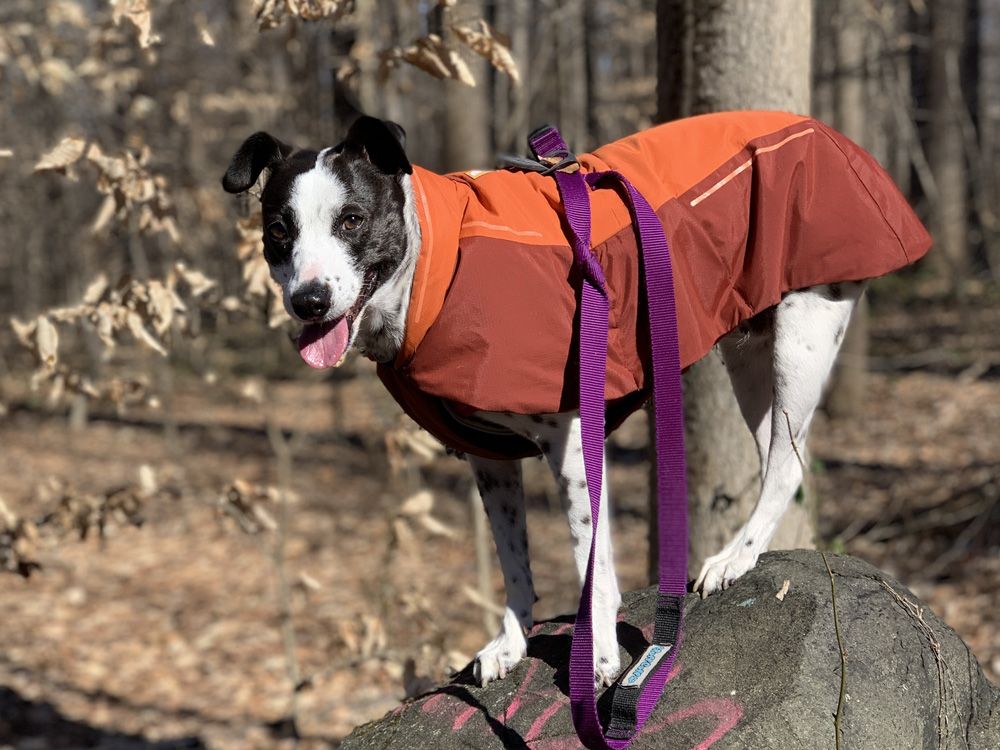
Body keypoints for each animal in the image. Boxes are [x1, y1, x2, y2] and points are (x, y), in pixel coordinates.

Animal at [223, 110, 932, 688]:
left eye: (352, 219)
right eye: (280, 231)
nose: (308, 300)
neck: (433, 271)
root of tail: (826, 133)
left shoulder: (570, 441)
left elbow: (589, 556)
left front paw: (600, 659)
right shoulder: (489, 460)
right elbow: (513, 559)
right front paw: (512, 643)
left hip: (801, 336)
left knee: (787, 464)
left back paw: (735, 557)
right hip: (749, 350)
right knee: (784, 458)